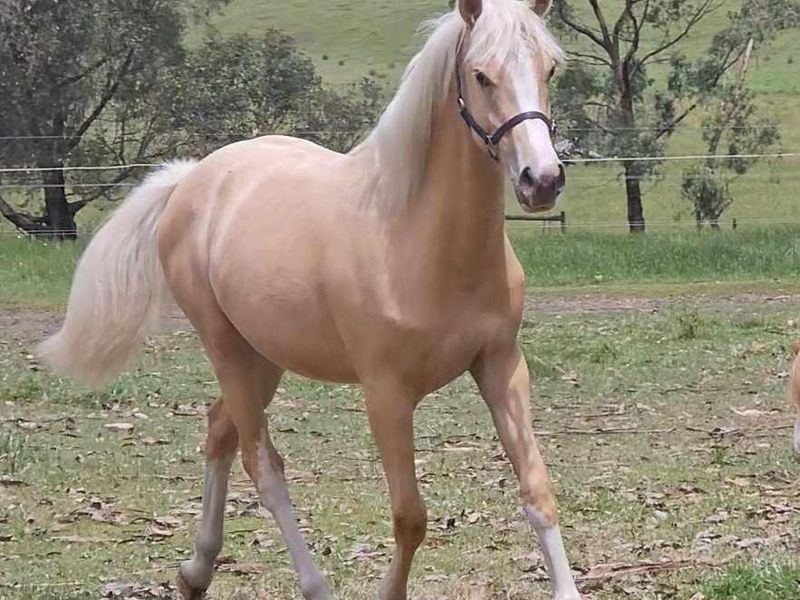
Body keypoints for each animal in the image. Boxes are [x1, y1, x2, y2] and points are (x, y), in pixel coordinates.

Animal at [38, 0, 580, 598]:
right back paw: (310, 582)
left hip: (265, 356)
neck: (415, 236)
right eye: (482, 75)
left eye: (550, 68)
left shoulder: (501, 366)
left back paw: (196, 571)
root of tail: (191, 180)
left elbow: (538, 490)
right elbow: (409, 517)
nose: (542, 180)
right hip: (227, 349)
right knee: (262, 465)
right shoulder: (386, 394)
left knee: (219, 431)